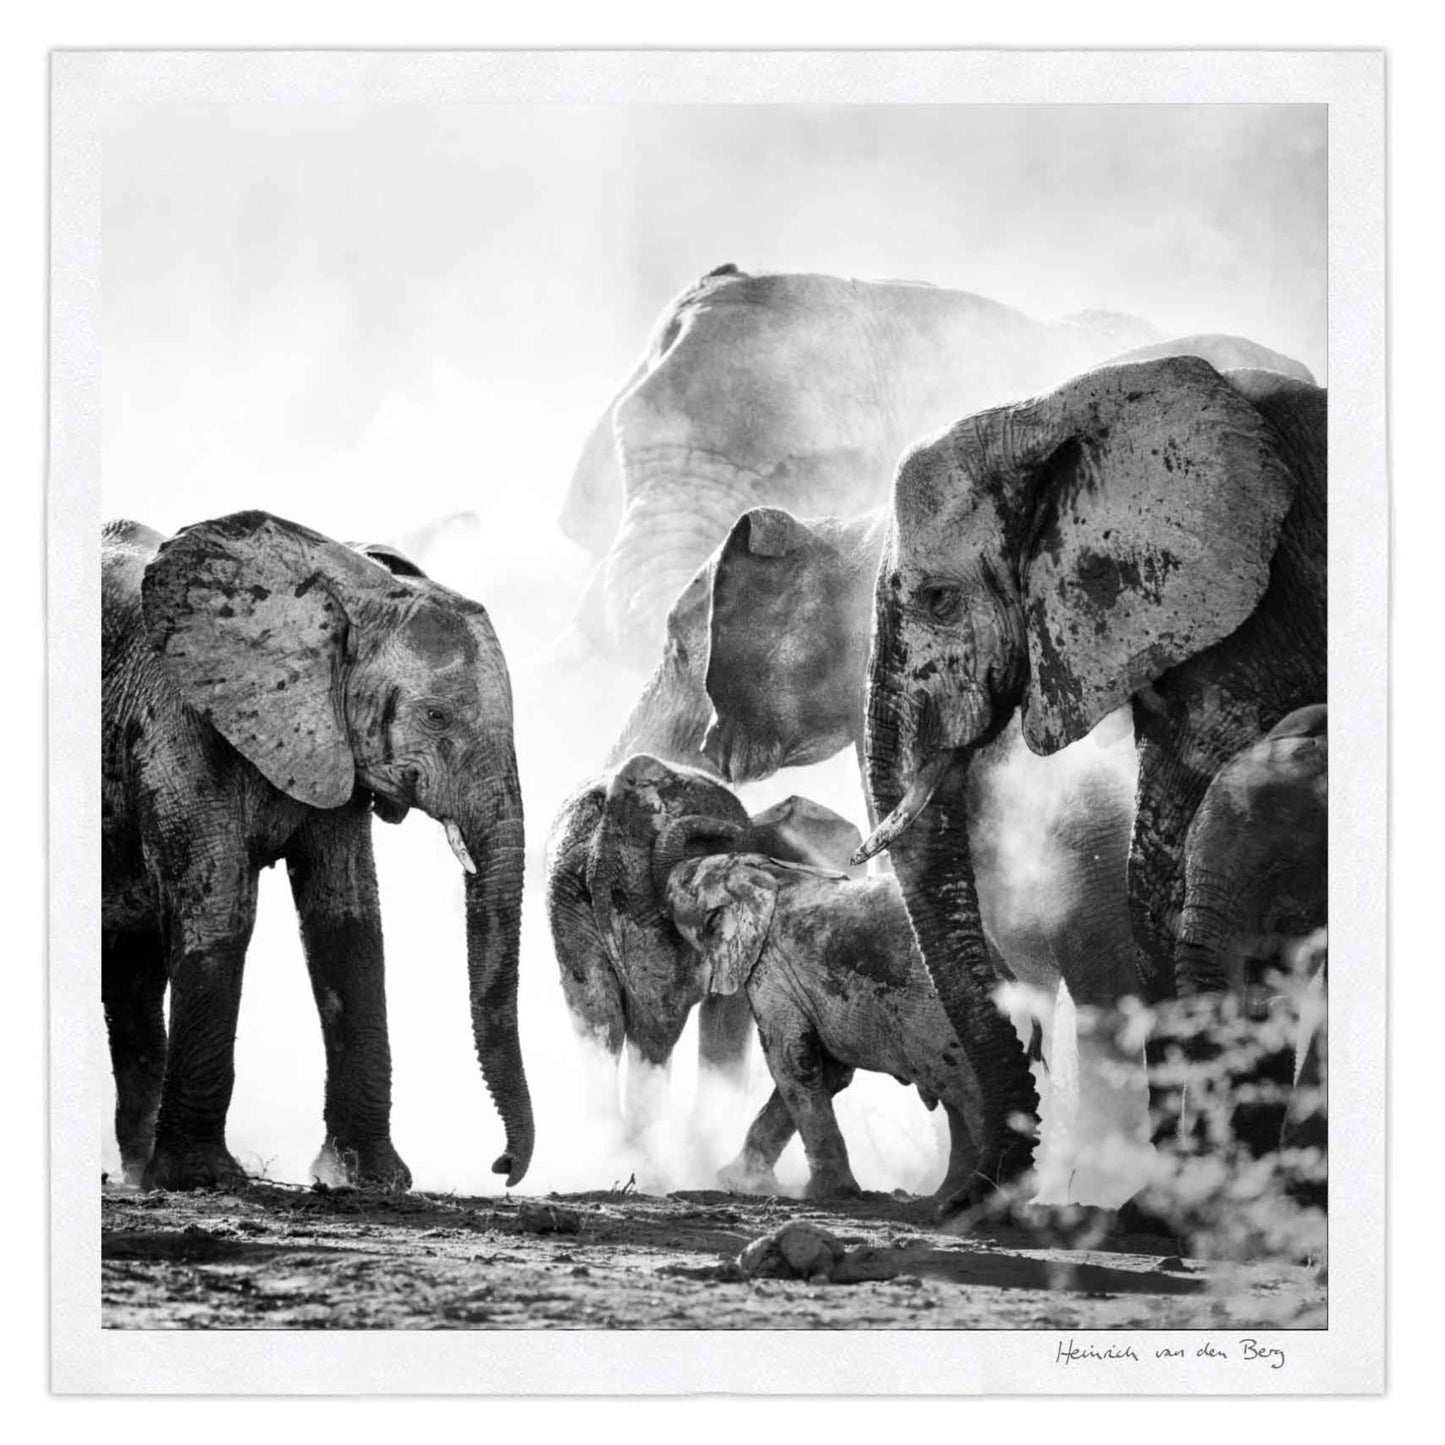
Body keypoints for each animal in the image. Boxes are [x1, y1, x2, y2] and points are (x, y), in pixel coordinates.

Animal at [101, 512, 533, 1192]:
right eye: (437, 718)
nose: (502, 1166)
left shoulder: (333, 746)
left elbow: (348, 921)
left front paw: (367, 1179)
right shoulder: (174, 722)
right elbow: (220, 909)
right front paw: (202, 1179)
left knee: (131, 976)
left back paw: (137, 1174)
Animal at [543, 753, 863, 1124]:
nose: (726, 833)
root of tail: (601, 848)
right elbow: (727, 1020)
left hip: (572, 897)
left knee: (603, 1026)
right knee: (655, 1027)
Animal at [662, 847, 996, 1203]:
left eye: (686, 882)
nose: (672, 873)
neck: (767, 876)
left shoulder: (771, 966)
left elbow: (794, 1059)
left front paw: (825, 1192)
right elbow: (829, 1069)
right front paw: (737, 1181)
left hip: (937, 1028)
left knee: (970, 1102)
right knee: (956, 1108)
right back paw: (948, 1195)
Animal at [856, 355, 1325, 1206]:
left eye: (938, 599)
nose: (962, 1200)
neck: (1049, 409)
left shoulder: (1264, 624)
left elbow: (1165, 863)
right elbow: (1157, 874)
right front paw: (1169, 1197)